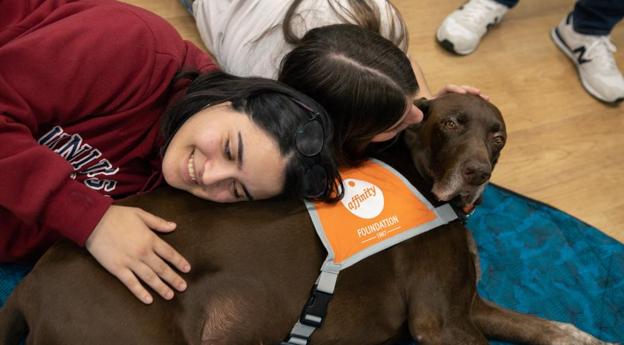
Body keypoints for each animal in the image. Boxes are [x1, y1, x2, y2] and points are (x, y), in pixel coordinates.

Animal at [0, 94, 616, 344]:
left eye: (498, 137)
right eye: (451, 123)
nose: (477, 173)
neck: (421, 177)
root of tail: (28, 287)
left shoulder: (467, 304)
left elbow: (549, 327)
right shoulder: (440, 323)